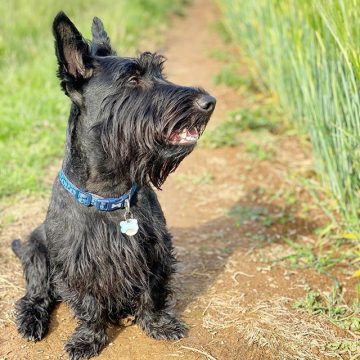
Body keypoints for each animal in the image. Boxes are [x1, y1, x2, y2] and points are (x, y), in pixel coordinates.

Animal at [11, 11, 215, 360]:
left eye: (160, 72)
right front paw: (88, 339)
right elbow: (88, 304)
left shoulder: (154, 250)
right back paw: (31, 320)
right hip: (36, 251)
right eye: (132, 80)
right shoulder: (77, 264)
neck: (110, 193)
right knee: (34, 295)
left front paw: (158, 324)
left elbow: (152, 291)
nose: (209, 102)